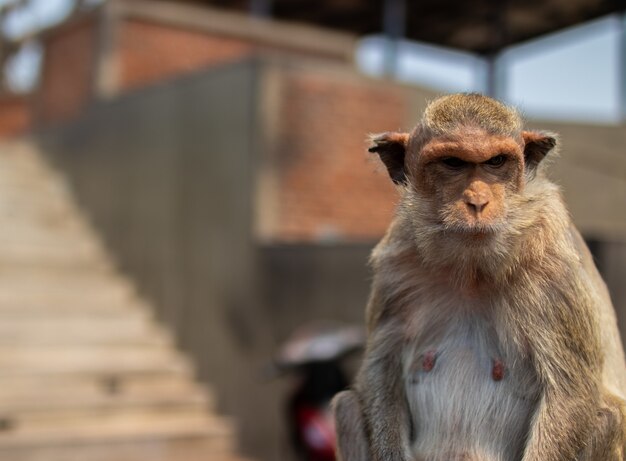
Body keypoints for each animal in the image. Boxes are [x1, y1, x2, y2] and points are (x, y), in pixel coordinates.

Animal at [334, 93, 626, 460]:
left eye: (496, 161)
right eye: (453, 163)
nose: (477, 201)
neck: (472, 270)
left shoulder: (553, 274)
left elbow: (570, 392)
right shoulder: (397, 266)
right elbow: (380, 368)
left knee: (608, 416)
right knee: (347, 404)